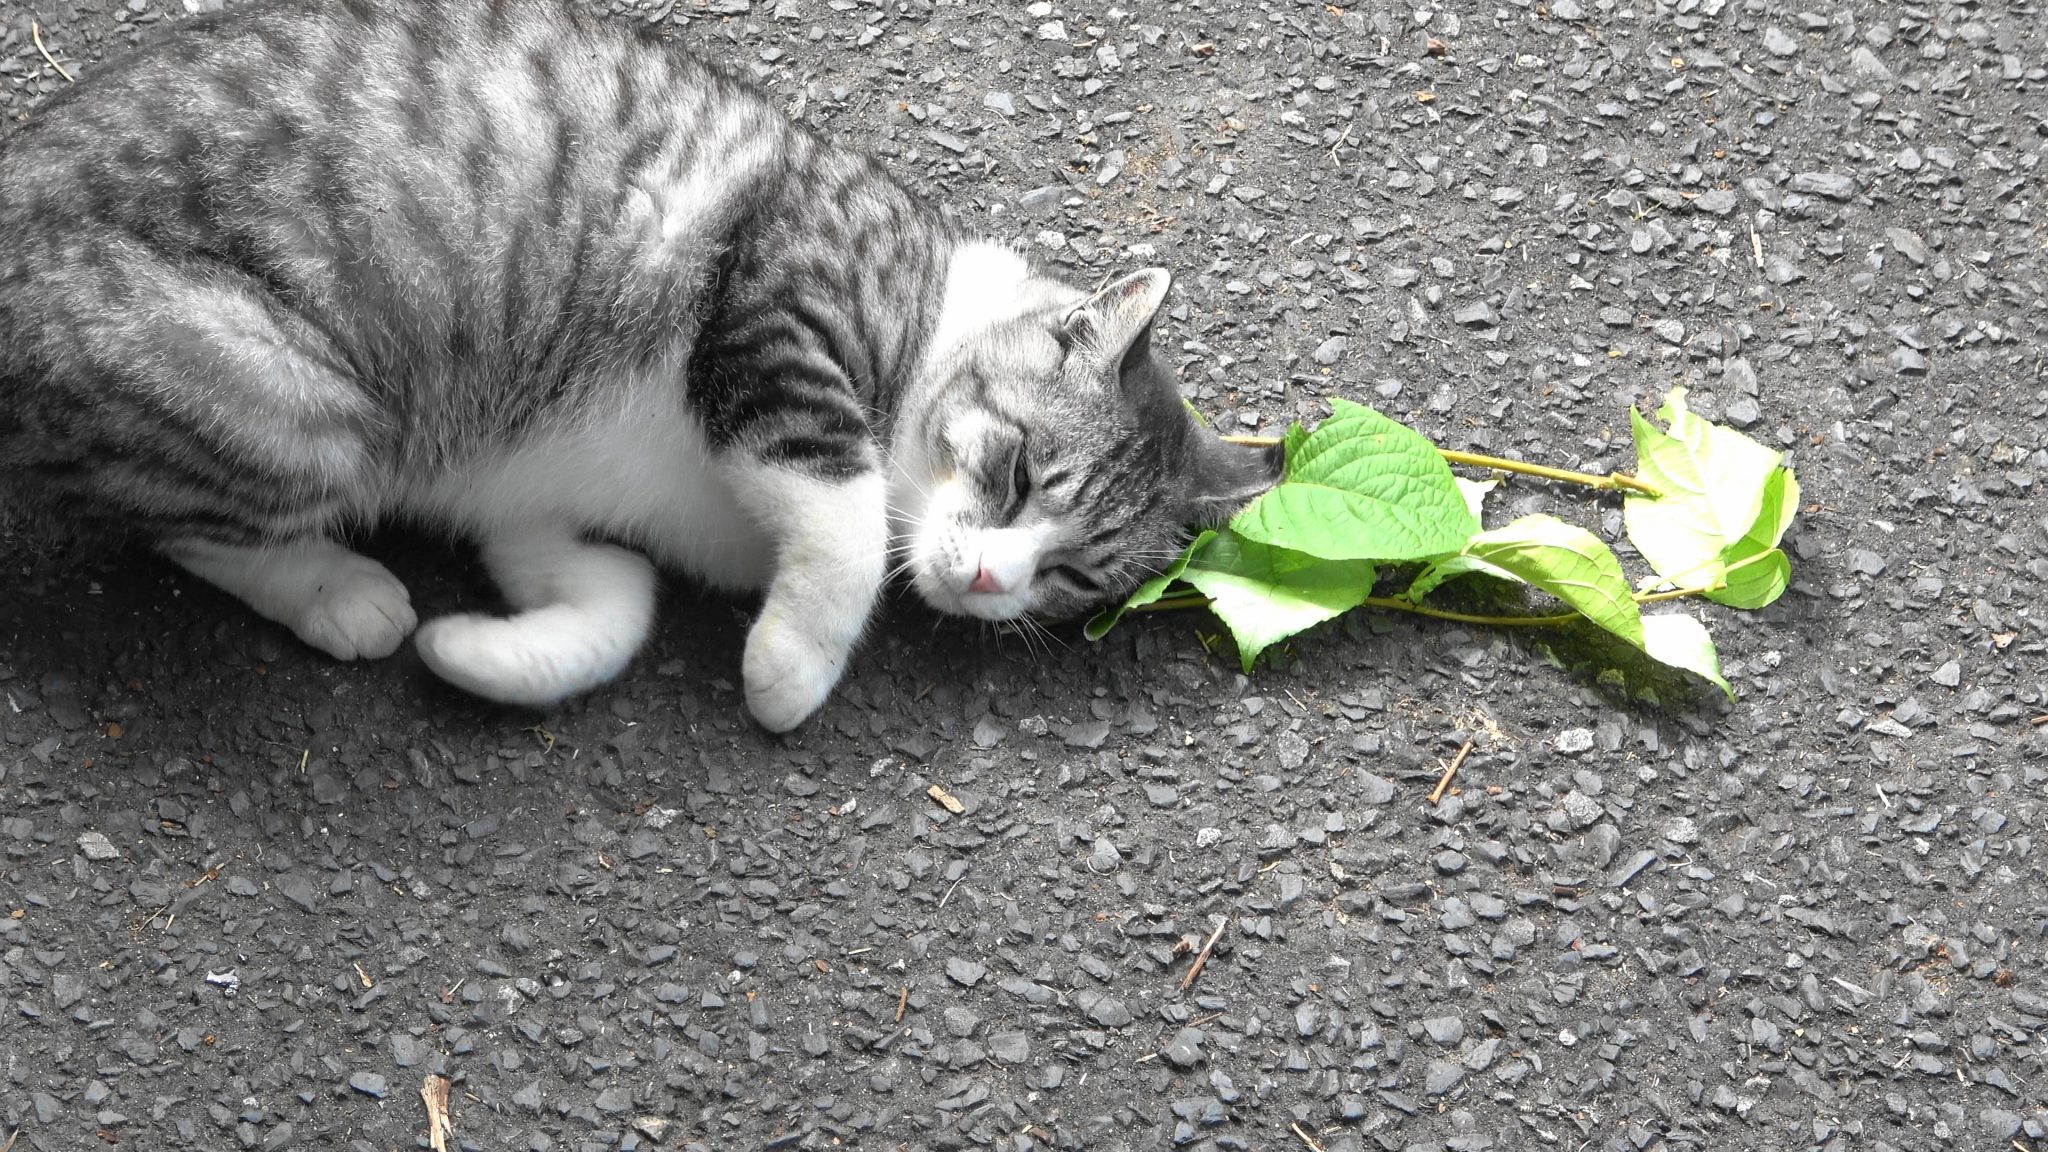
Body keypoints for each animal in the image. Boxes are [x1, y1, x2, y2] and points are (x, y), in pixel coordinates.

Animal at [0, 0, 1277, 725]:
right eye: (1017, 475)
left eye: (1067, 576)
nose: (984, 583)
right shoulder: (778, 315)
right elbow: (844, 521)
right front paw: (788, 675)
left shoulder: (529, 511)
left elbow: (616, 602)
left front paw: (478, 653)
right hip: (281, 397)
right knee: (184, 522)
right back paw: (337, 589)